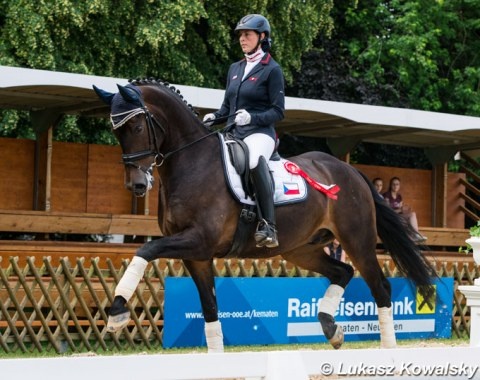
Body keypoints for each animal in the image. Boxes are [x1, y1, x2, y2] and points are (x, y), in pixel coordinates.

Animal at [94, 79, 436, 354]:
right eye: (116, 130)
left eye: (138, 127)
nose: (137, 185)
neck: (192, 163)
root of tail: (350, 171)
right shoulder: (197, 255)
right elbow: (210, 308)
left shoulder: (198, 240)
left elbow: (145, 249)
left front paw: (117, 310)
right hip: (301, 248)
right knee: (342, 272)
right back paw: (331, 328)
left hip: (357, 239)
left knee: (380, 287)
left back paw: (387, 350)